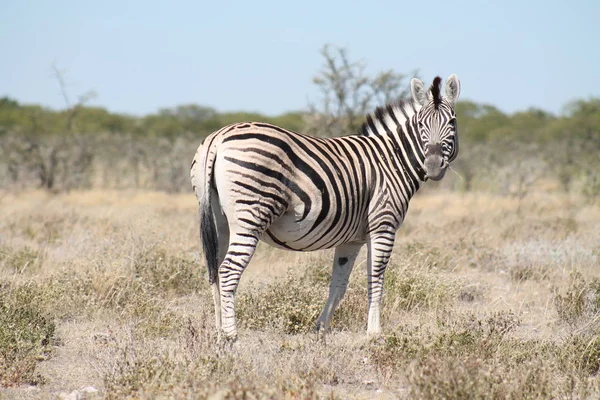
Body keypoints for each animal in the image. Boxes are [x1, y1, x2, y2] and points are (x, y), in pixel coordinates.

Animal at [190, 73, 462, 340]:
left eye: (452, 122)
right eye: (421, 125)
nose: (433, 165)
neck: (392, 160)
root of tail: (218, 137)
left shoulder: (351, 240)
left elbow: (338, 285)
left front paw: (321, 329)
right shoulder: (383, 225)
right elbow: (376, 279)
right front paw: (374, 334)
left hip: (219, 221)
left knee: (214, 270)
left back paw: (218, 333)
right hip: (249, 216)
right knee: (228, 272)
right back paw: (231, 337)